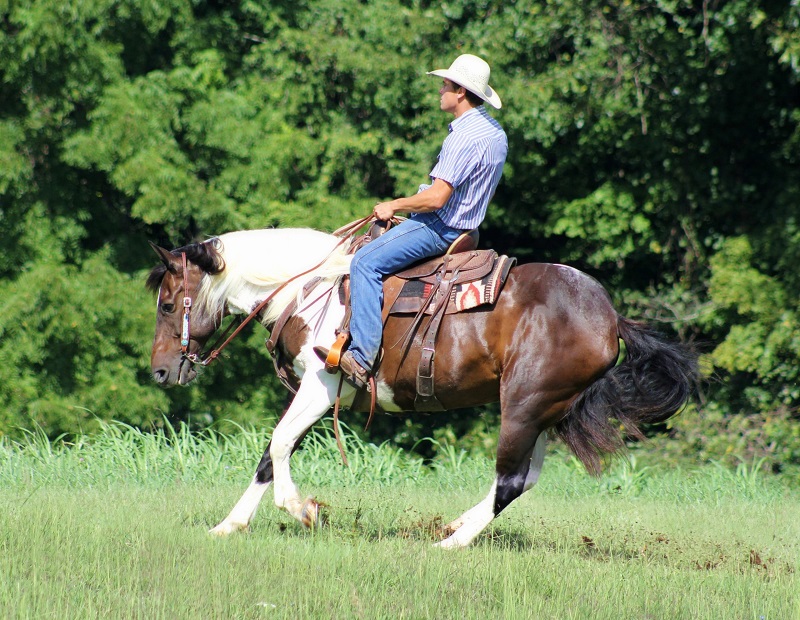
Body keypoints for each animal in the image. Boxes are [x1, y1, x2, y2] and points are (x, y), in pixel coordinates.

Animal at [147, 226, 697, 549]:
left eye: (168, 304)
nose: (160, 372)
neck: (308, 289)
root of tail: (610, 317)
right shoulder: (315, 392)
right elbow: (269, 453)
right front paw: (229, 525)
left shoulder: (322, 386)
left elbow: (279, 444)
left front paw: (303, 510)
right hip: (545, 413)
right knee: (523, 480)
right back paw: (454, 527)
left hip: (524, 406)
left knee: (510, 480)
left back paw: (449, 545)